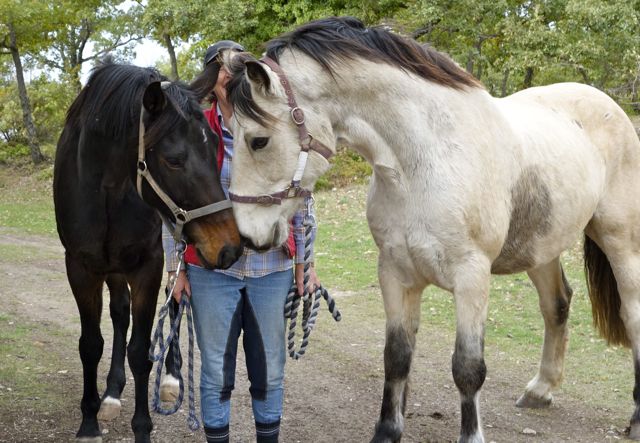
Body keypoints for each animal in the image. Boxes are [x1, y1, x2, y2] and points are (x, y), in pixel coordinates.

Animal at [53, 59, 243, 442]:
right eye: (173, 160)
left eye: (214, 147)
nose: (229, 247)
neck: (107, 187)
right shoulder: (82, 267)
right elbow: (91, 344)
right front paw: (89, 422)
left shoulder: (148, 266)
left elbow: (141, 351)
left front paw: (142, 427)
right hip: (115, 267)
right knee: (120, 313)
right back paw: (111, 393)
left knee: (176, 299)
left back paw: (170, 378)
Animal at [224, 16, 640, 443]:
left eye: (258, 140)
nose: (248, 236)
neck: (424, 162)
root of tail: (608, 105)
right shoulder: (395, 273)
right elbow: (396, 357)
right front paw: (387, 431)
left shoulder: (472, 277)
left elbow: (468, 368)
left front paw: (471, 436)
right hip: (542, 248)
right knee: (556, 305)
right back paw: (540, 390)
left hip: (620, 240)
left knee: (632, 313)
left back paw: (635, 415)